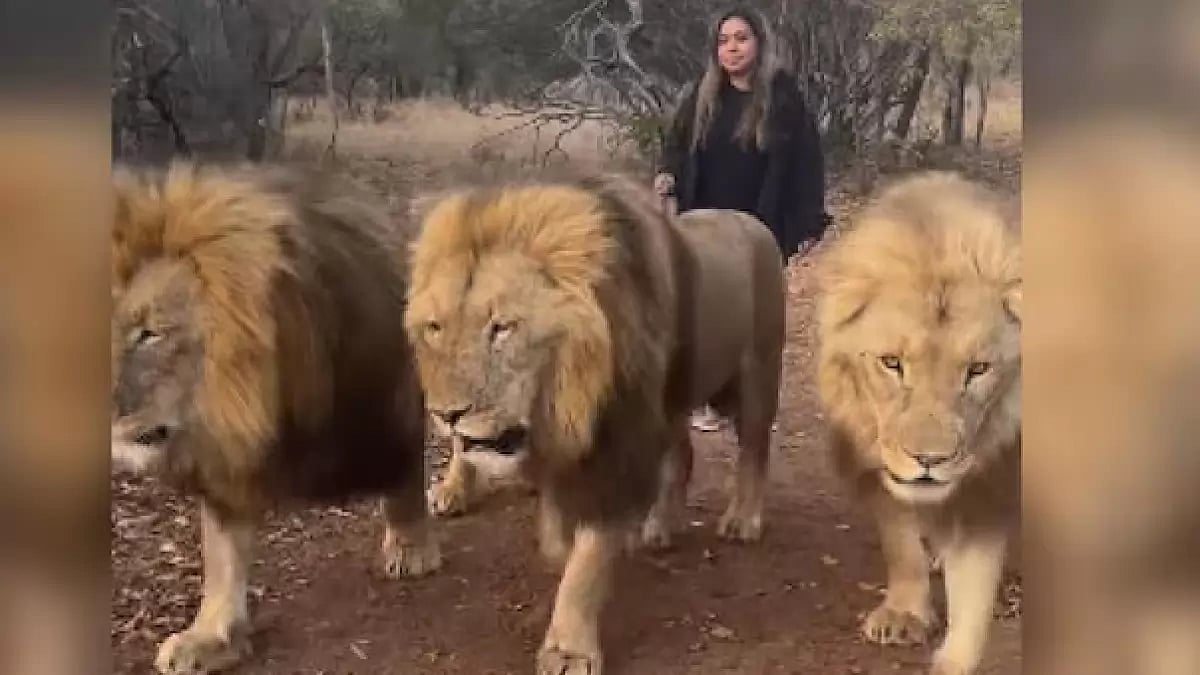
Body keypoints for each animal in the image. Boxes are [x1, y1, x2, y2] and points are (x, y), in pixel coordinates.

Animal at [110, 160, 442, 675]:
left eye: (150, 333)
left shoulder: (387, 409)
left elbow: (405, 478)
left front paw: (411, 548)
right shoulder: (226, 458)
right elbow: (223, 558)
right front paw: (210, 638)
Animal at [404, 173, 786, 674]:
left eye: (502, 327)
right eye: (435, 327)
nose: (447, 413)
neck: (566, 402)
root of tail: (753, 220)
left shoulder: (616, 447)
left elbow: (587, 562)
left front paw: (569, 649)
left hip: (756, 374)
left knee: (755, 450)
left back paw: (742, 520)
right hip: (669, 400)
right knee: (683, 454)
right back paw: (660, 526)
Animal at [814, 170, 1021, 675]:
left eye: (978, 370)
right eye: (892, 363)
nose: (929, 460)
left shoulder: (991, 482)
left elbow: (975, 575)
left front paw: (958, 659)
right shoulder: (878, 468)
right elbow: (900, 541)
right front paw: (905, 614)